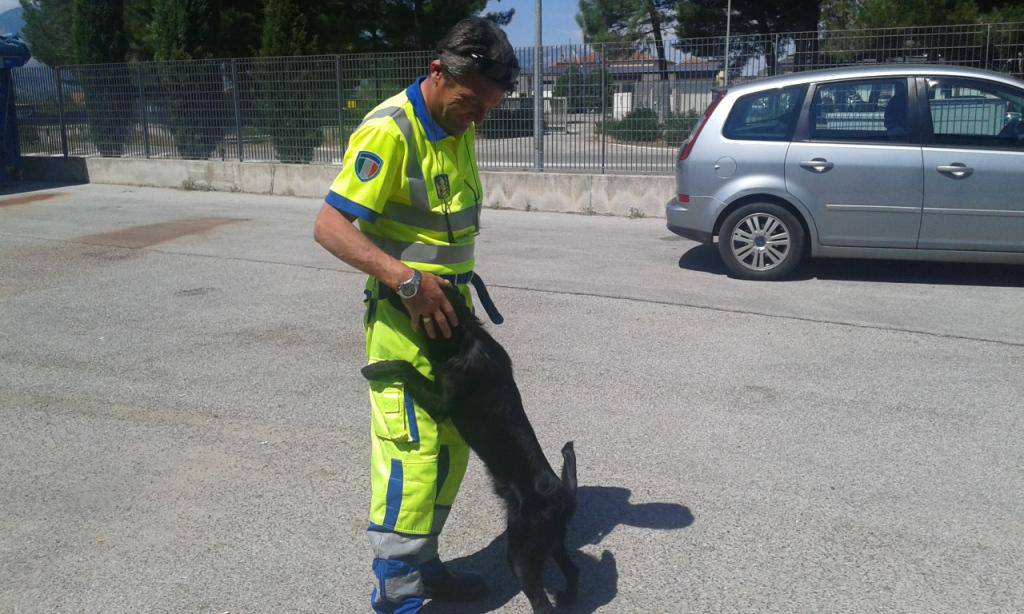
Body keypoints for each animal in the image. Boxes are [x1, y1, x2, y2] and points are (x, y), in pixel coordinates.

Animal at [362, 284, 581, 609]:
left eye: (412, 292)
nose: (386, 285)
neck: (465, 338)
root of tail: (562, 495)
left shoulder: (441, 402)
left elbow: (407, 368)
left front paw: (379, 369)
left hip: (523, 553)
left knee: (541, 601)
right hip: (552, 542)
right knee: (573, 569)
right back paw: (568, 596)